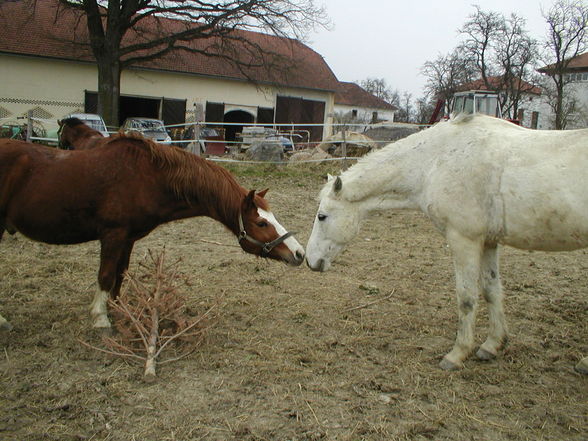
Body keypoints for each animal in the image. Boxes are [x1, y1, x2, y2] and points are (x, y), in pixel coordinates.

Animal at [0, 134, 304, 330]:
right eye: (262, 223)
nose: (299, 253)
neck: (147, 177)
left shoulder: (127, 239)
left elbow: (120, 275)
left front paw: (119, 310)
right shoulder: (113, 235)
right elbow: (105, 275)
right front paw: (100, 318)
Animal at [306, 112, 588, 372]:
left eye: (322, 216)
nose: (311, 261)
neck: (435, 161)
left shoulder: (464, 239)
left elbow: (466, 297)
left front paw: (457, 354)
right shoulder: (488, 242)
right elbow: (491, 290)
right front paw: (492, 345)